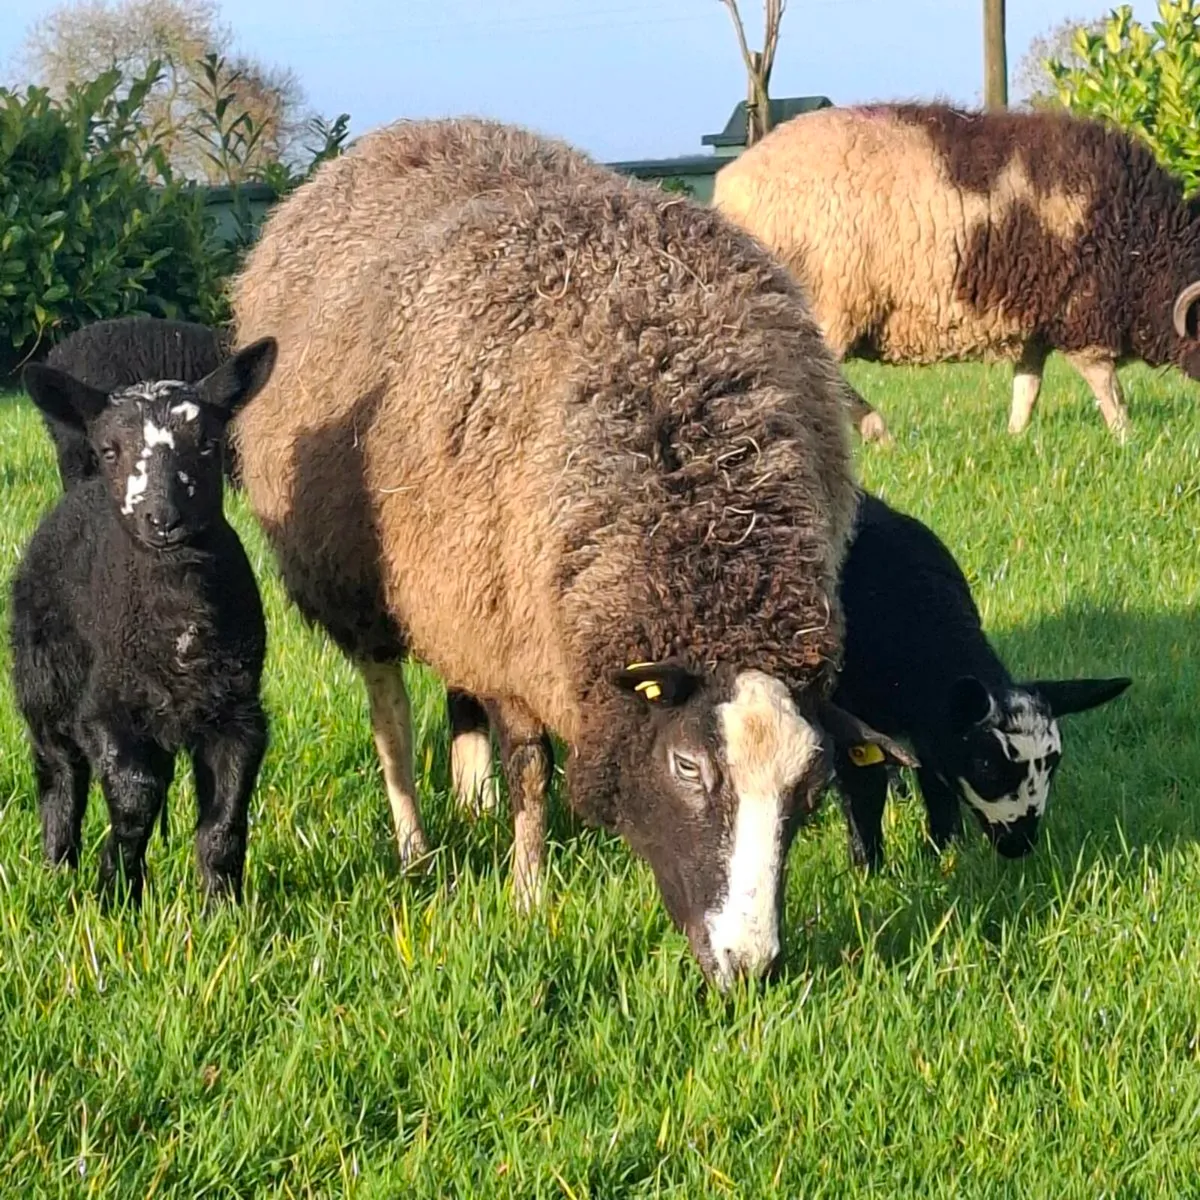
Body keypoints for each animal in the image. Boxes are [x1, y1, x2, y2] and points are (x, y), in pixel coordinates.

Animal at [10, 339, 277, 903]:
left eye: (208, 443)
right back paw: (58, 866)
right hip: (41, 678)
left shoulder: (239, 713)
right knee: (58, 773)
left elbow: (224, 823)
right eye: (111, 450)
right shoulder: (103, 709)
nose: (164, 518)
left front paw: (223, 907)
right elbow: (135, 798)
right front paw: (115, 889)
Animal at [230, 116, 915, 988]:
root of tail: (405, 134)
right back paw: (416, 848)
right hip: (364, 580)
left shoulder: (501, 607)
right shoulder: (517, 633)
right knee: (390, 717)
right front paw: (528, 895)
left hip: (458, 579)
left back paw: (471, 797)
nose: (749, 965)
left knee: (456, 688)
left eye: (812, 789)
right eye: (687, 767)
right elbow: (529, 766)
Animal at [713, 103, 1200, 440]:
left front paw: (1014, 439)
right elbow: (1109, 389)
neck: (1147, 239)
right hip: (826, 306)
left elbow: (1027, 386)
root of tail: (729, 190)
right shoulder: (1084, 315)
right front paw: (1128, 440)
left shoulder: (1034, 322)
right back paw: (875, 432)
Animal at [831, 491, 1131, 870]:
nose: (1020, 844)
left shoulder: (932, 725)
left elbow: (937, 785)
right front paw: (868, 866)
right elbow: (865, 791)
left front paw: (944, 849)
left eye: (1054, 763)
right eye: (986, 767)